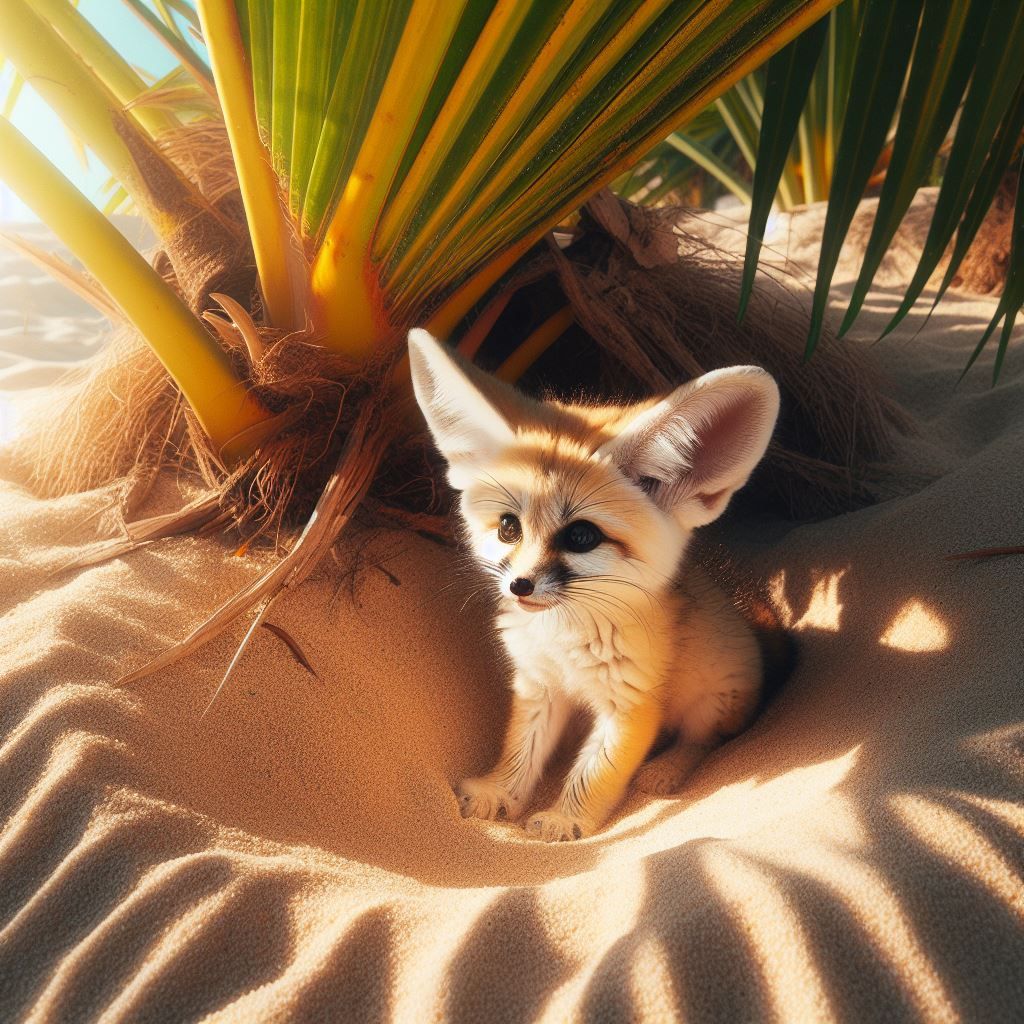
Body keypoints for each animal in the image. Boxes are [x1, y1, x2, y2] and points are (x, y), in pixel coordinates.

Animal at [407, 327, 780, 842]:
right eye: (508, 527)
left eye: (581, 537)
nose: (519, 586)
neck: (564, 639)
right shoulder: (538, 685)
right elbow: (521, 749)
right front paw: (499, 792)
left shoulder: (631, 705)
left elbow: (595, 771)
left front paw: (565, 820)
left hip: (710, 702)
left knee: (700, 742)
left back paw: (665, 770)